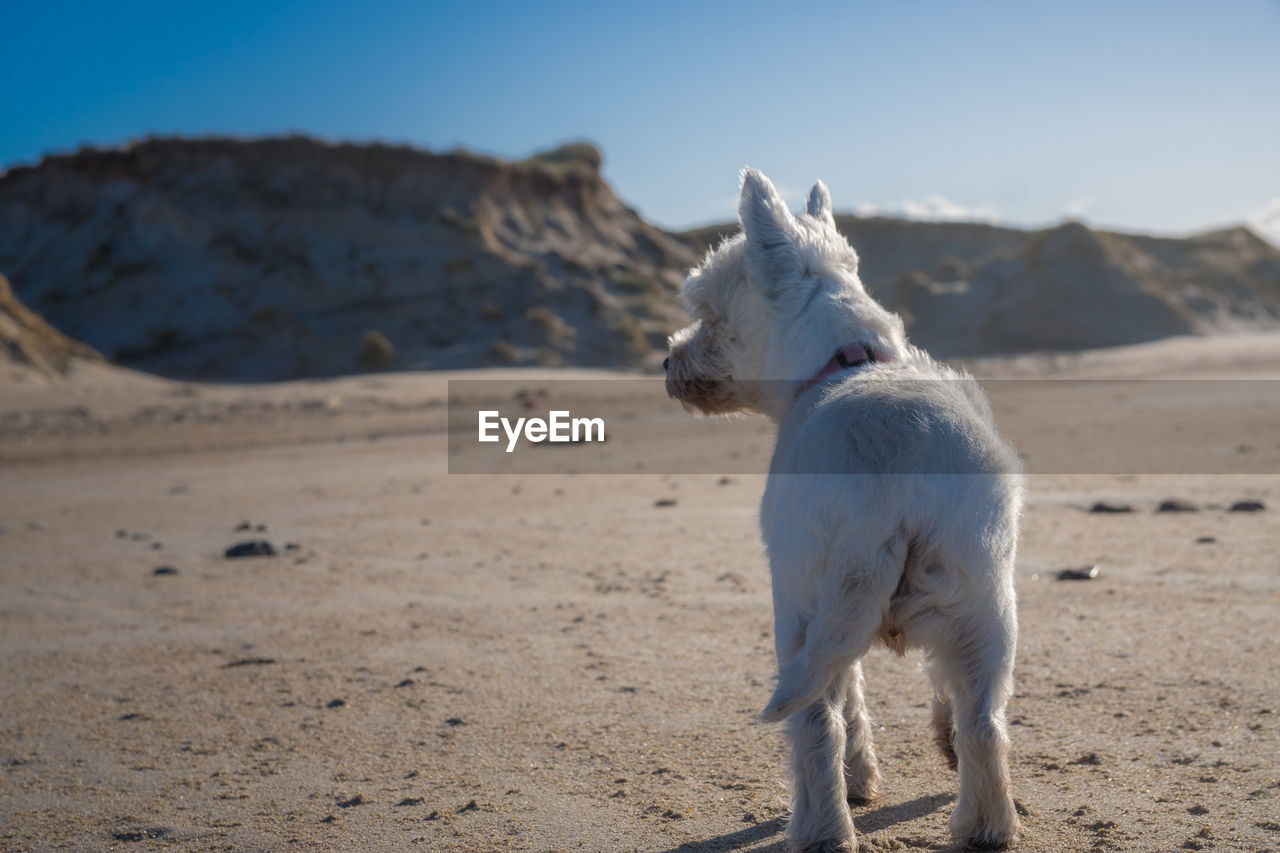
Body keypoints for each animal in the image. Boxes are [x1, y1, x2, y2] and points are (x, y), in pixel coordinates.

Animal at [665, 169, 1024, 845]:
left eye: (709, 315)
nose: (666, 360)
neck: (846, 361)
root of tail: (887, 491)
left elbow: (848, 706)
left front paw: (859, 781)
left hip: (801, 607)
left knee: (814, 725)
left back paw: (821, 831)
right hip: (984, 605)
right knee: (983, 722)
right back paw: (985, 828)